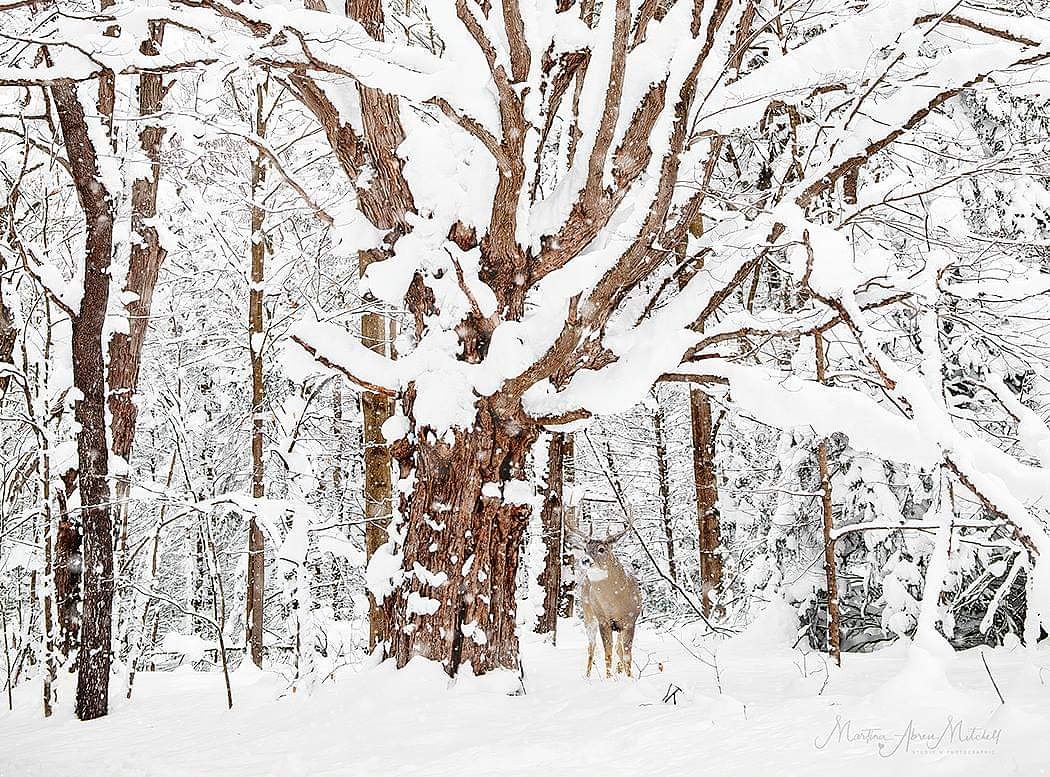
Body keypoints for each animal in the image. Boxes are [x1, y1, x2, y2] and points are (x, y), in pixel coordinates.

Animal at [565, 509, 642, 678]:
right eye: (585, 549)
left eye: (602, 549)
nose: (585, 560)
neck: (615, 602)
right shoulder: (603, 620)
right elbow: (608, 653)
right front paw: (609, 678)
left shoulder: (630, 621)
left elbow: (626, 654)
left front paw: (630, 678)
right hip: (589, 615)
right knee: (591, 647)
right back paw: (587, 676)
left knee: (618, 649)